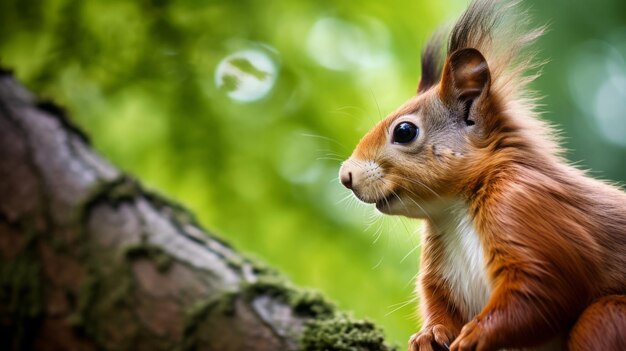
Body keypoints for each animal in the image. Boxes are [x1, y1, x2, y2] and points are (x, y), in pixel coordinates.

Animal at [338, 0, 624, 351]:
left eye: (404, 131)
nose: (346, 174)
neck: (455, 210)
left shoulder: (524, 205)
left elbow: (544, 289)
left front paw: (476, 334)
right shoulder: (441, 271)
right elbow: (440, 303)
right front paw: (429, 334)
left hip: (608, 318)